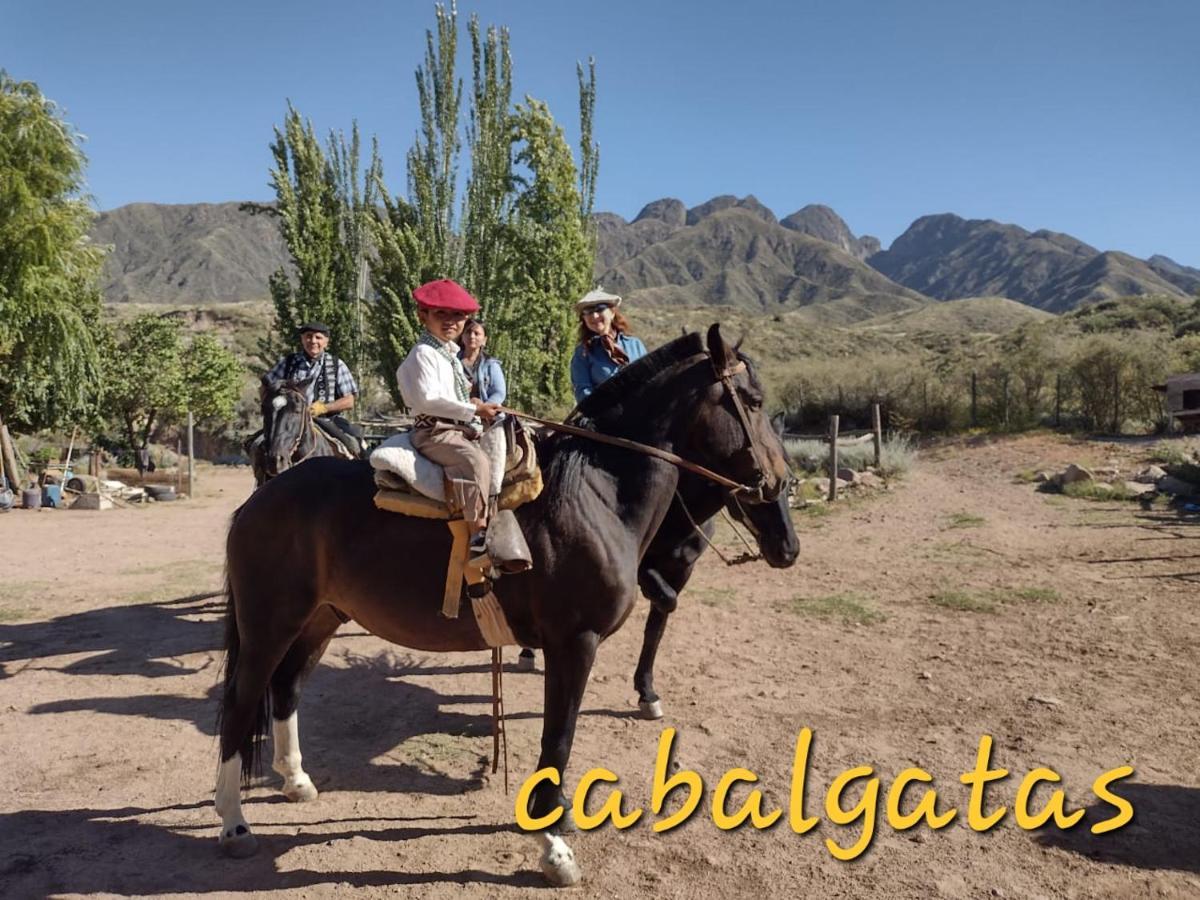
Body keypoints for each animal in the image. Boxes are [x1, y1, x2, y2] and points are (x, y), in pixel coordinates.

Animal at [216, 326, 796, 888]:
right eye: (753, 399)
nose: (779, 483)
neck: (594, 494)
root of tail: (261, 498)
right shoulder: (574, 644)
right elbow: (557, 741)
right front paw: (555, 849)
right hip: (269, 625)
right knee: (242, 701)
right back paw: (234, 823)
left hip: (320, 619)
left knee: (287, 686)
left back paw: (296, 781)